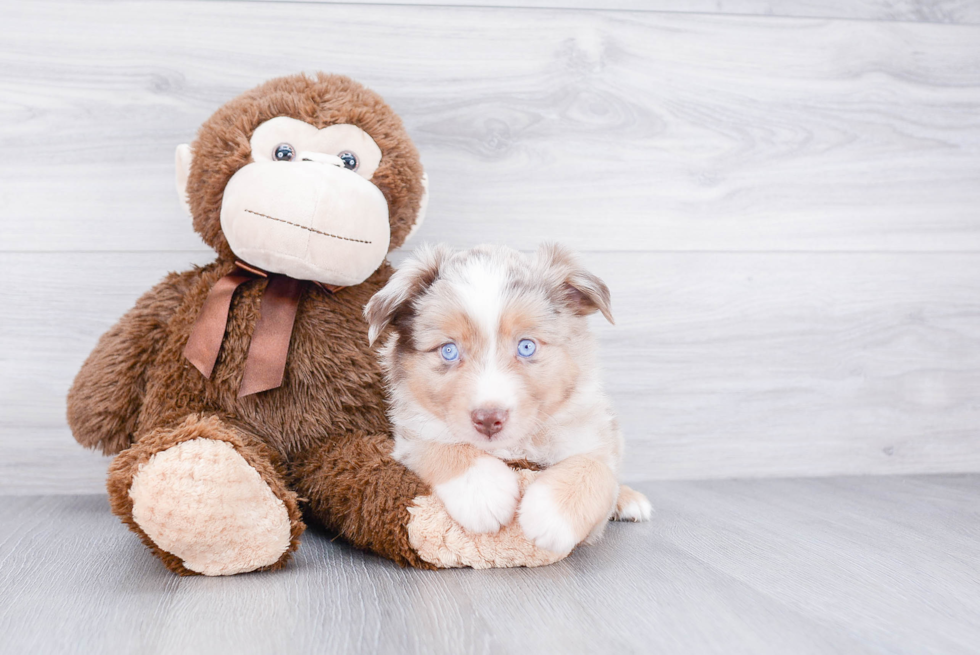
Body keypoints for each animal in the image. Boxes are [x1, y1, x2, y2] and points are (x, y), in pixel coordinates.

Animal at [362, 245, 652, 552]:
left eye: (526, 346)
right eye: (449, 350)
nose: (489, 420)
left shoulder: (592, 432)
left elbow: (595, 468)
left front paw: (550, 515)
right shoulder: (411, 433)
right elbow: (439, 444)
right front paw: (483, 492)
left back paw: (629, 499)